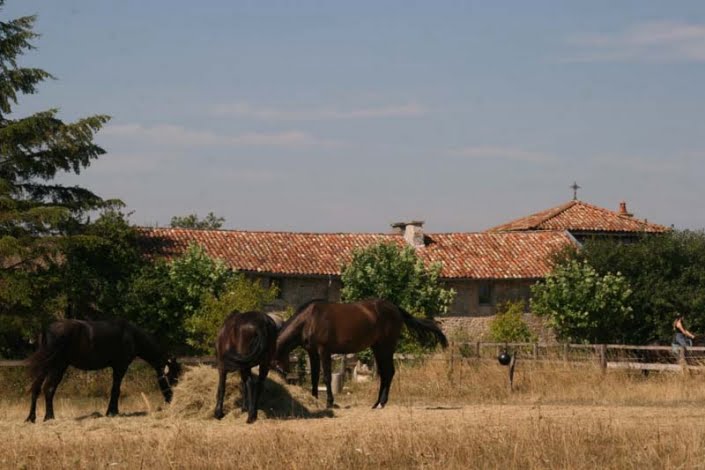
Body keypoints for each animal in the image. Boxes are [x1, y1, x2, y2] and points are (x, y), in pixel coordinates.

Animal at [26, 320, 182, 422]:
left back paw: (31, 418)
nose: (171, 401)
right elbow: (116, 390)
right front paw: (112, 412)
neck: (132, 336)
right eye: (173, 378)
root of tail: (46, 330)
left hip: (46, 367)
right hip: (57, 367)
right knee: (49, 388)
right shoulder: (120, 367)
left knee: (36, 389)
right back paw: (49, 417)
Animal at [272, 302, 448, 408]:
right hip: (378, 348)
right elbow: (315, 377)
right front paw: (315, 398)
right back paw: (376, 403)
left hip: (386, 347)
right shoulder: (312, 352)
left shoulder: (324, 351)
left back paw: (382, 403)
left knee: (389, 372)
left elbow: (326, 377)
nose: (283, 376)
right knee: (384, 373)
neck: (310, 319)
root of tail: (394, 308)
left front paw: (330, 402)